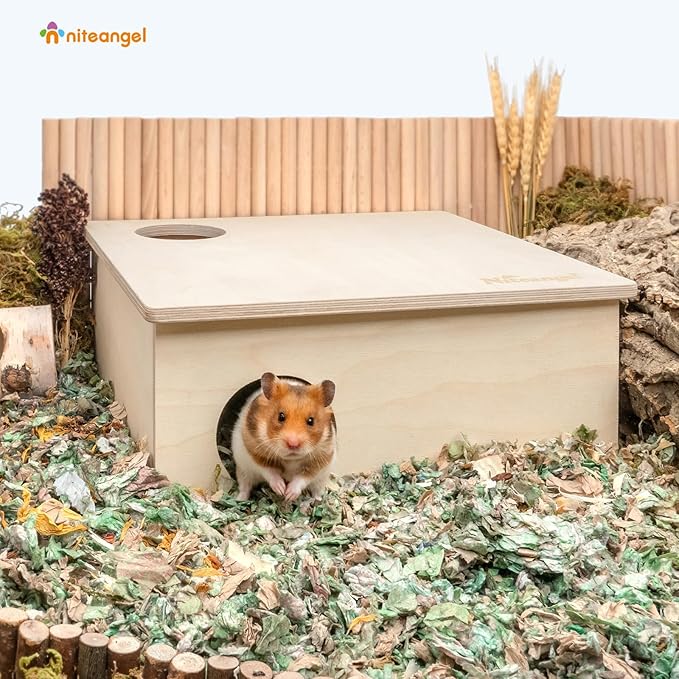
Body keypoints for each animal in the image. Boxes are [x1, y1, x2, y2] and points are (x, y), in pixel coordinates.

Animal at [230, 372, 337, 502]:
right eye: (280, 416)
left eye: (311, 421)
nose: (293, 444)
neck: (290, 459)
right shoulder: (254, 452)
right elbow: (269, 471)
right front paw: (281, 489)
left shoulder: (320, 461)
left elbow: (303, 478)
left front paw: (289, 495)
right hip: (243, 470)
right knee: (245, 486)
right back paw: (240, 499)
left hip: (322, 479)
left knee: (317, 490)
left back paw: (318, 500)